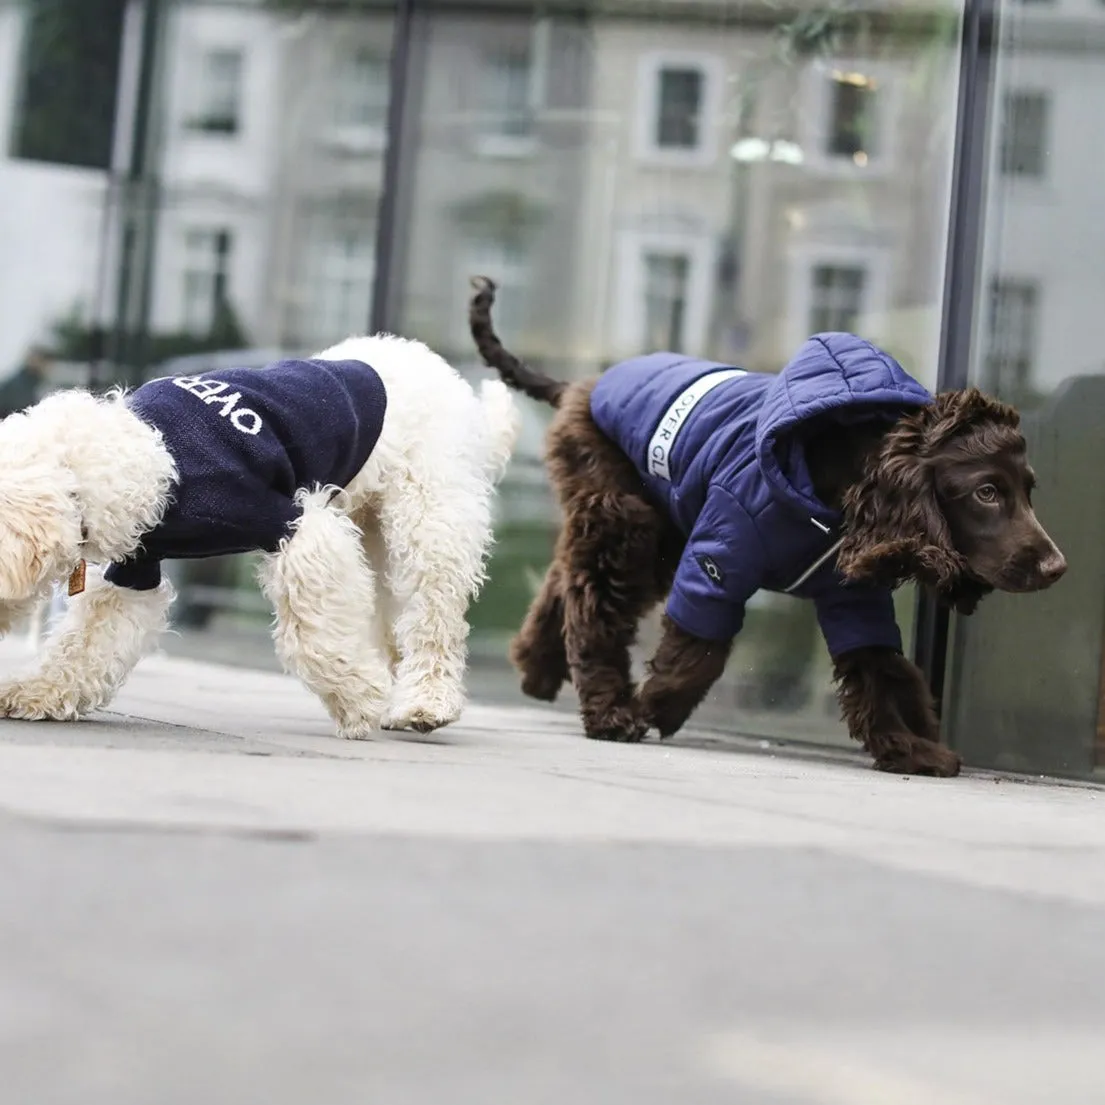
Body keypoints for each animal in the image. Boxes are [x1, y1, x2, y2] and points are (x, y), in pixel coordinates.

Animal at [0, 335, 514, 733]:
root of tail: (444, 373)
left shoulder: (295, 527)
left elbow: (313, 633)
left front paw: (359, 697)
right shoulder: (135, 568)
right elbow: (85, 642)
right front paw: (35, 692)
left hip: (431, 517)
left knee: (434, 618)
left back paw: (426, 703)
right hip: (374, 535)